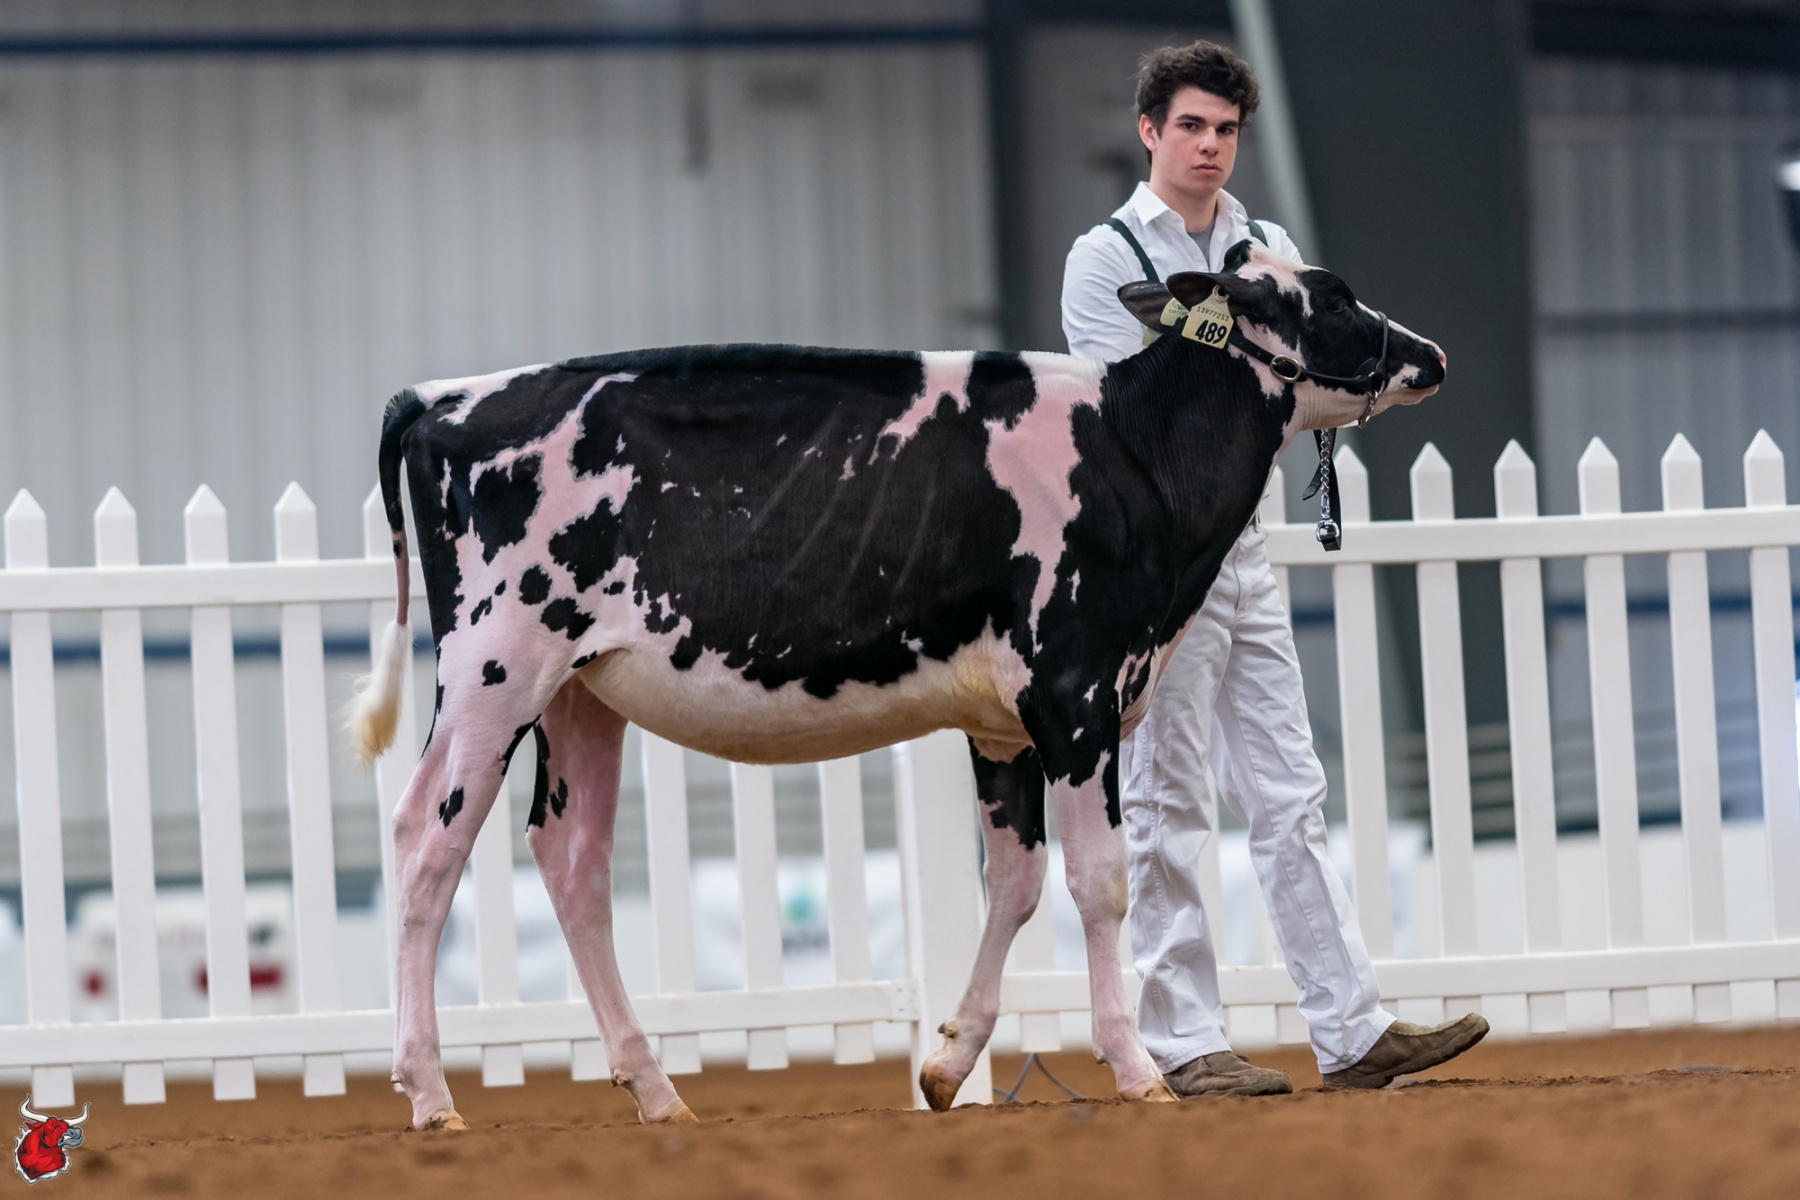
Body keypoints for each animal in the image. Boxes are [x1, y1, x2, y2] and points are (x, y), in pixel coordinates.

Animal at [349, 238, 1445, 1129]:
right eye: (1333, 294)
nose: (1432, 355)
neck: (1134, 451)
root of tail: (444, 396)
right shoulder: (1078, 694)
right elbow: (1099, 883)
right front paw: (1137, 1071)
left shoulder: (1006, 723)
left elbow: (1015, 885)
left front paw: (949, 1065)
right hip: (495, 669)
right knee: (424, 842)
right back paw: (431, 1095)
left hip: (581, 694)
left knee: (574, 862)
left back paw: (656, 1092)